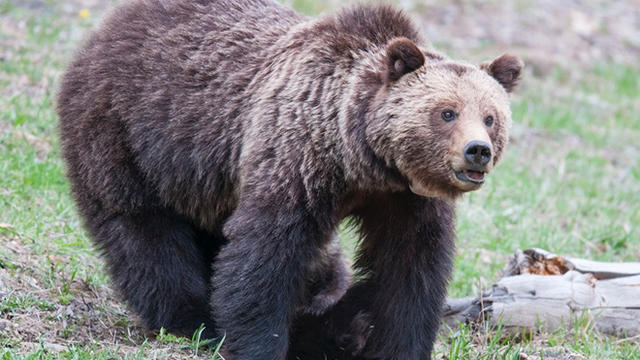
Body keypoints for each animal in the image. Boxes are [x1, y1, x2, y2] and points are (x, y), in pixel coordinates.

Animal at [57, 0, 524, 358]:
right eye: (446, 112)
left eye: (490, 117)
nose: (477, 151)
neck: (361, 161)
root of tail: (113, 22)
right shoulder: (296, 158)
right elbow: (266, 255)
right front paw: (260, 342)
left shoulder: (406, 200)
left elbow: (410, 270)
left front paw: (393, 341)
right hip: (127, 132)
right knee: (141, 229)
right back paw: (194, 319)